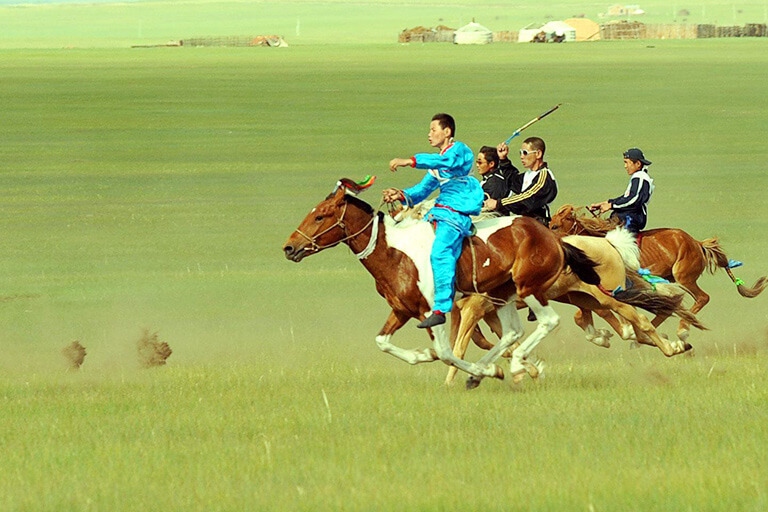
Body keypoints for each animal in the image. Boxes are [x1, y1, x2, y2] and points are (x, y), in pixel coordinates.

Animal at [284, 180, 608, 384]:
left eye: (321, 216)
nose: (289, 247)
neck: (395, 252)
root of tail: (552, 236)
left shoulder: (432, 312)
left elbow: (445, 352)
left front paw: (484, 370)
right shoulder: (402, 310)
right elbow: (383, 342)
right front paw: (428, 356)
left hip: (529, 288)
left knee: (548, 321)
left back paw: (512, 364)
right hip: (500, 294)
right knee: (511, 333)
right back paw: (486, 370)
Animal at [548, 203, 764, 340]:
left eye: (556, 225)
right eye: (550, 224)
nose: (551, 244)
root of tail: (696, 242)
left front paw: (625, 331)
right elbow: (583, 315)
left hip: (684, 278)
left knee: (702, 298)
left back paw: (682, 330)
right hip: (669, 279)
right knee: (670, 306)